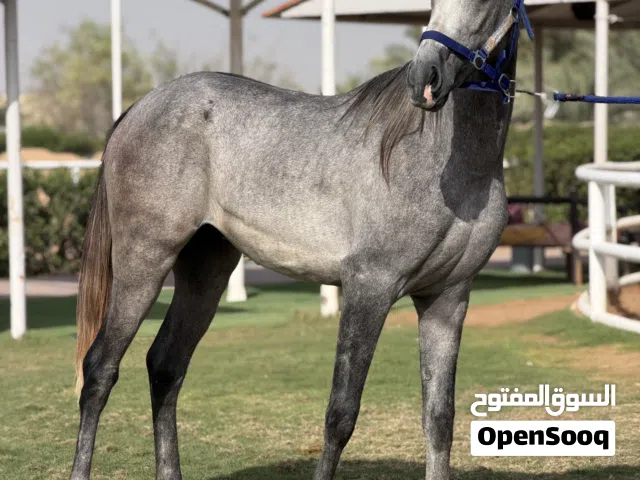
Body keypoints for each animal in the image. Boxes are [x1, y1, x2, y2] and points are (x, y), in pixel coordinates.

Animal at [71, 0, 528, 478]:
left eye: (487, 2)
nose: (425, 78)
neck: (445, 164)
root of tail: (139, 108)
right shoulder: (369, 287)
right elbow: (340, 415)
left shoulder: (447, 298)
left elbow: (438, 419)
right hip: (143, 263)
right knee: (99, 370)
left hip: (205, 270)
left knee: (165, 366)